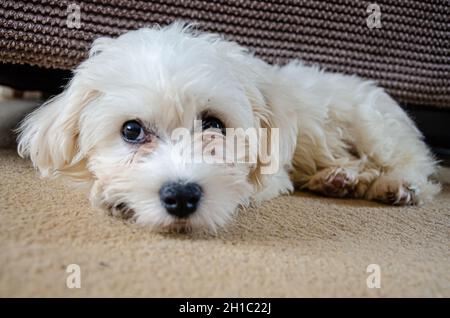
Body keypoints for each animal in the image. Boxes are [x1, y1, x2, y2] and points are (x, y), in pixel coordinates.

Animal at [16, 21, 440, 231]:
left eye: (214, 124)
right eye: (132, 131)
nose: (181, 197)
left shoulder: (271, 174)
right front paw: (112, 193)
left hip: (371, 122)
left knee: (413, 161)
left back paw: (398, 185)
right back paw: (337, 178)